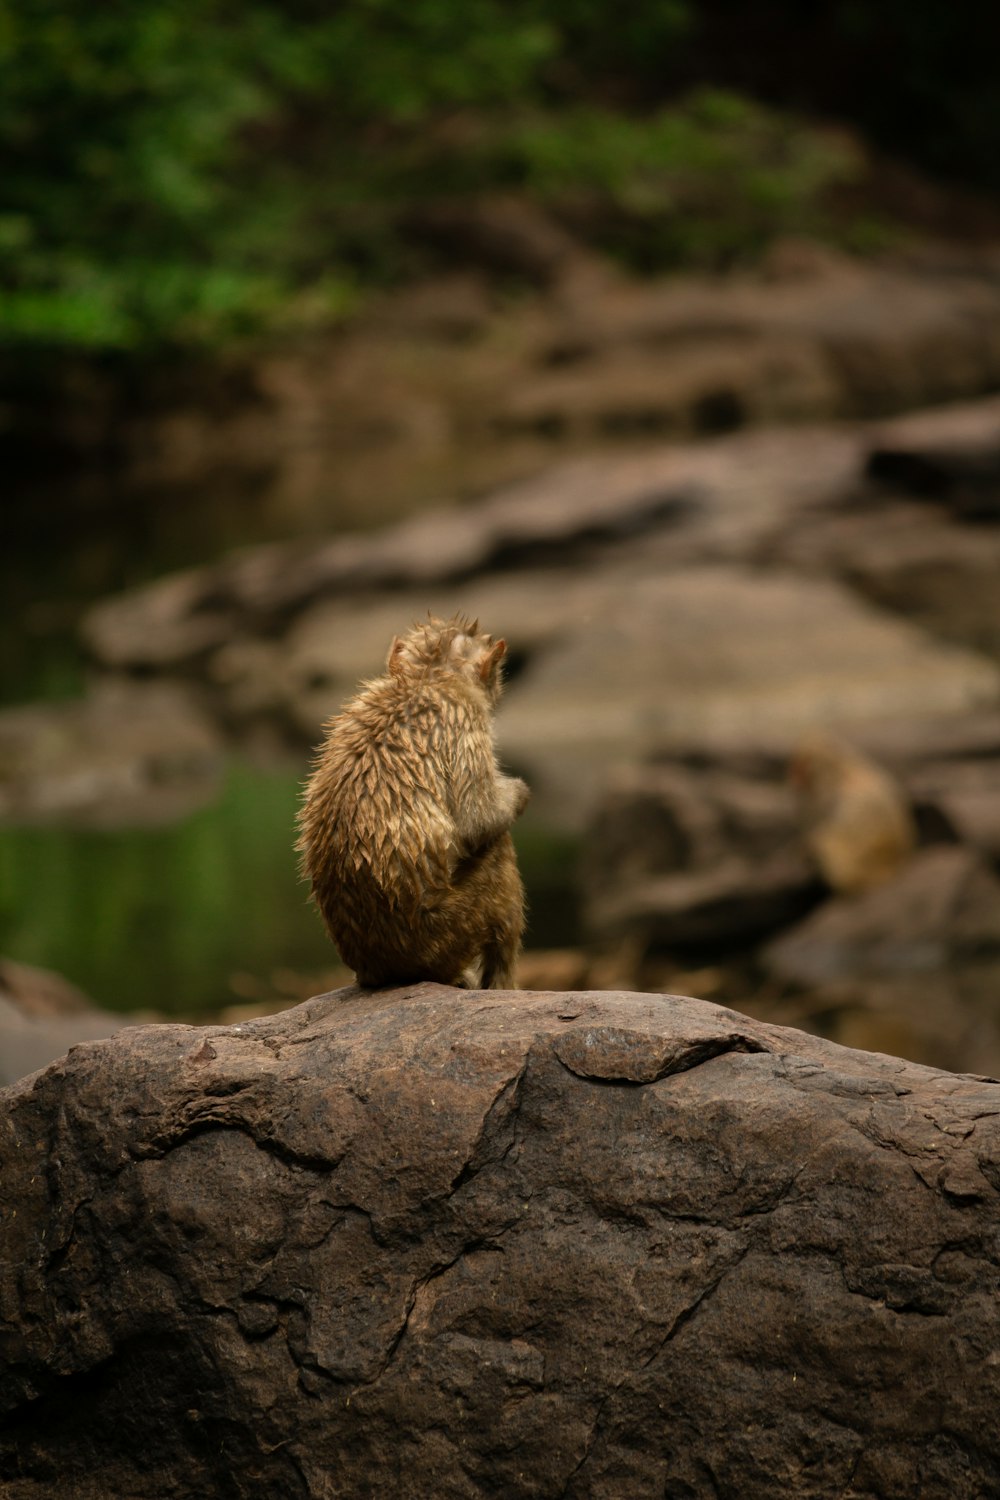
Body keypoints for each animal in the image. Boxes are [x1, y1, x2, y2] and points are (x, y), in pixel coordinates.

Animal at [296, 615, 530, 990]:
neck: (426, 678)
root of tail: (378, 970)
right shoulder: (465, 718)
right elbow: (477, 819)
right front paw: (519, 792)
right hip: (445, 936)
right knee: (498, 854)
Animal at [791, 732, 917, 894]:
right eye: (795, 766)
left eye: (801, 768)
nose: (793, 779)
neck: (839, 778)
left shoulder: (850, 804)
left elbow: (836, 840)